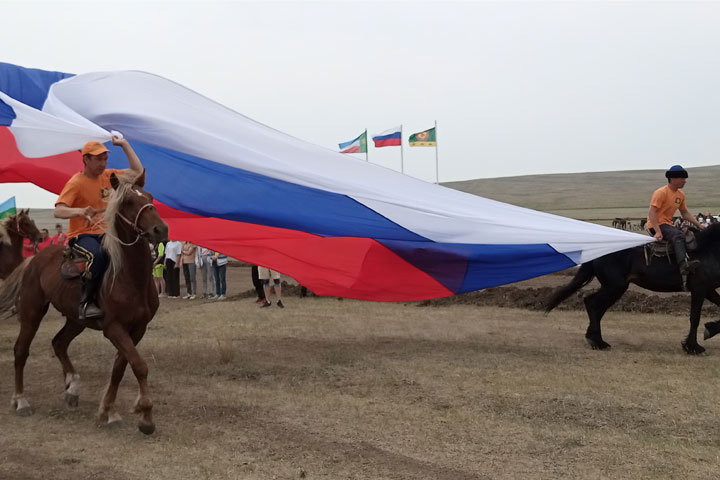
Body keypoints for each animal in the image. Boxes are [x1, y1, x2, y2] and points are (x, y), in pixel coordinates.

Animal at [0, 172, 169, 436]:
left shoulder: (137, 329)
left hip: (75, 319)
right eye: (129, 202)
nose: (160, 230)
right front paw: (146, 417)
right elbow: (139, 365)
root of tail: (33, 259)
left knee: (59, 343)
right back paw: (21, 400)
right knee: (21, 351)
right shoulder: (114, 328)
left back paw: (72, 388)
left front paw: (108, 411)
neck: (129, 276)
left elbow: (120, 368)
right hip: (32, 312)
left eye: (150, 197)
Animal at [544, 223, 720, 354]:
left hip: (614, 287)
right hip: (615, 286)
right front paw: (693, 347)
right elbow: (695, 317)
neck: (709, 250)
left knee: (594, 305)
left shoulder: (708, 290)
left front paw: (710, 330)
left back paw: (596, 339)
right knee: (594, 305)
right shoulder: (699, 289)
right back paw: (598, 342)